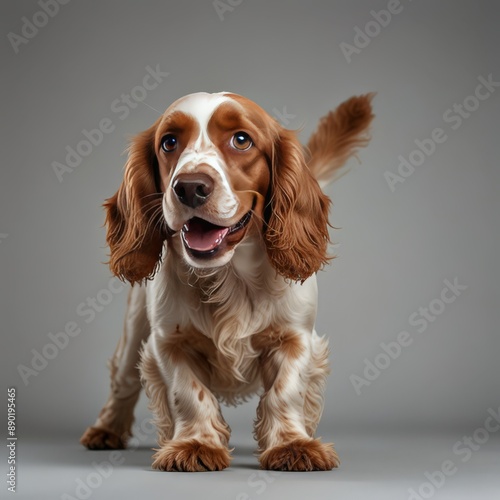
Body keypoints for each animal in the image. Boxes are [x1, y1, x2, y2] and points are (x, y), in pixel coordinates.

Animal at [80, 92, 374, 470]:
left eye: (241, 139)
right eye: (169, 142)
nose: (190, 187)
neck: (229, 276)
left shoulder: (295, 338)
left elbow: (285, 392)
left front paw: (292, 445)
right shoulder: (169, 343)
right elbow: (190, 394)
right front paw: (195, 444)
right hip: (135, 331)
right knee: (124, 380)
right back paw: (106, 430)